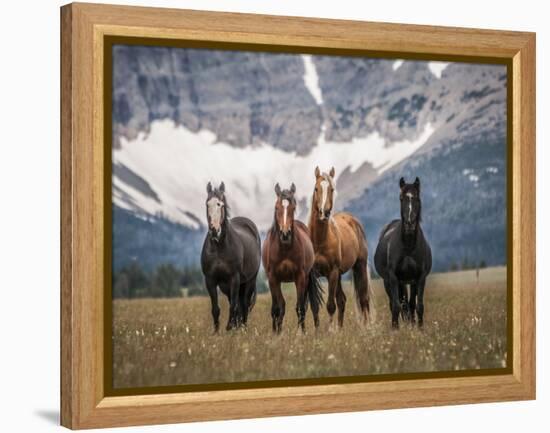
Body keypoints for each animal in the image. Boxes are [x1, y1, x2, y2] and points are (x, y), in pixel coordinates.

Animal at [203, 181, 264, 330]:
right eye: (207, 204)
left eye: (220, 204)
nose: (214, 230)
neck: (219, 247)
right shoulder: (210, 280)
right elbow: (216, 308)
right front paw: (217, 331)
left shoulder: (234, 278)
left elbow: (234, 307)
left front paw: (229, 328)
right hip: (227, 286)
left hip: (249, 281)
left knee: (244, 304)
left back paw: (242, 327)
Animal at [264, 182, 326, 334]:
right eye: (277, 207)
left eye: (293, 207)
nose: (285, 234)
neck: (285, 248)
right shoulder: (273, 278)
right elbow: (278, 307)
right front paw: (276, 333)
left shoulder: (300, 276)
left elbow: (300, 307)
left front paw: (301, 333)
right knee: (279, 306)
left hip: (307, 278)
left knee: (312, 305)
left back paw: (316, 330)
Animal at [308, 167, 374, 326]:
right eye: (316, 188)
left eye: (332, 189)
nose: (324, 212)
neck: (319, 241)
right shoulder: (311, 275)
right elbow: (314, 306)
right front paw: (317, 330)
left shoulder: (332, 272)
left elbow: (330, 305)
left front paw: (331, 330)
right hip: (339, 275)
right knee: (342, 300)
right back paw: (341, 328)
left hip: (359, 266)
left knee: (363, 299)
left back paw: (367, 327)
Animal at [378, 176, 434, 328]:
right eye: (401, 198)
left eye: (417, 198)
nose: (410, 224)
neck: (408, 246)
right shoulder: (393, 278)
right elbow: (396, 306)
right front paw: (395, 328)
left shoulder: (420, 278)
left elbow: (418, 305)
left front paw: (419, 328)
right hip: (390, 282)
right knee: (396, 303)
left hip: (409, 282)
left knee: (409, 304)